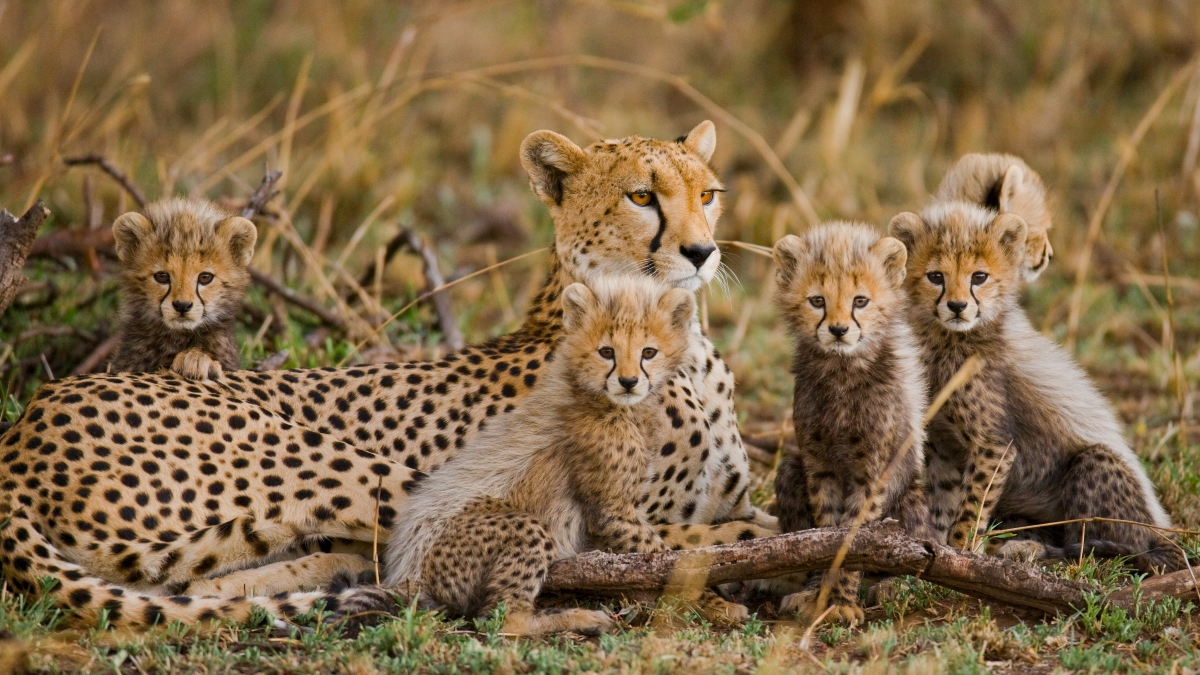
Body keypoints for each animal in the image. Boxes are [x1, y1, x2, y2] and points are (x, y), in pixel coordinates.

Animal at [0, 120, 768, 624]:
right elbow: (722, 533)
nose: (702, 251)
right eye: (642, 196)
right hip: (342, 463)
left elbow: (752, 515)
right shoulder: (633, 513)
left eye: (708, 194)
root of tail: (28, 421)